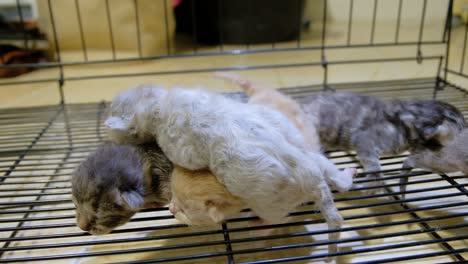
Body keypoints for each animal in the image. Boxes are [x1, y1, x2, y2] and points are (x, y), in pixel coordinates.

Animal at [105, 86, 354, 254]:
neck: (160, 102)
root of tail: (314, 180)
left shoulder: (179, 146)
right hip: (315, 158)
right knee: (337, 179)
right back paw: (349, 175)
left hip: (270, 203)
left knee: (278, 219)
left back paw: (258, 226)